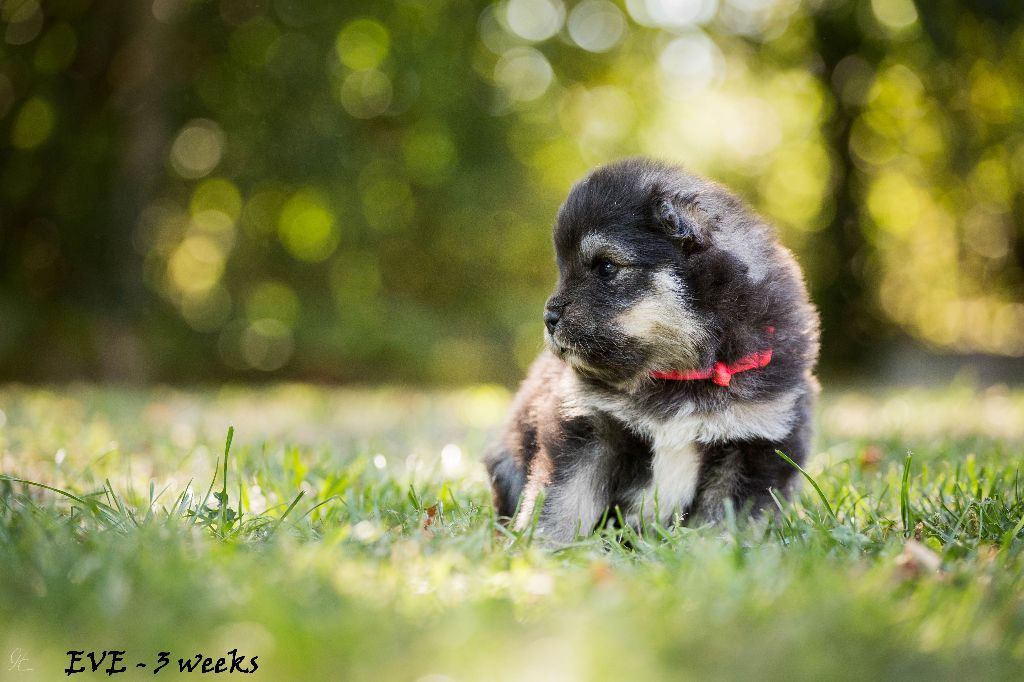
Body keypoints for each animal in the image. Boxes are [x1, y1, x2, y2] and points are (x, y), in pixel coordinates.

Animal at [485, 158, 820, 542]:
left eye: (606, 267)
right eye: (562, 269)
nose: (549, 317)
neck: (677, 372)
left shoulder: (754, 442)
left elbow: (724, 519)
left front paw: (713, 550)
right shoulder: (588, 425)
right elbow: (564, 498)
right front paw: (544, 544)